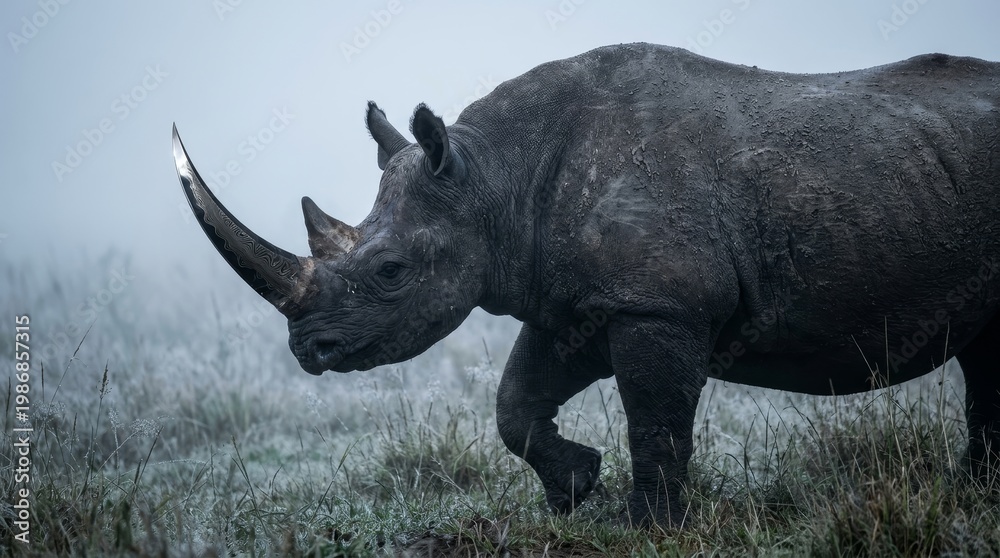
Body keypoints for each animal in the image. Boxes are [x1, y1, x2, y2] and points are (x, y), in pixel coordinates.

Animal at [173, 43, 1000, 526]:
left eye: (390, 271)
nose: (308, 349)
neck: (492, 178)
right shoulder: (576, 302)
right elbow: (516, 404)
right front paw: (574, 489)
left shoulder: (657, 303)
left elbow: (655, 422)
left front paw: (650, 527)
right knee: (988, 358)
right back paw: (972, 497)